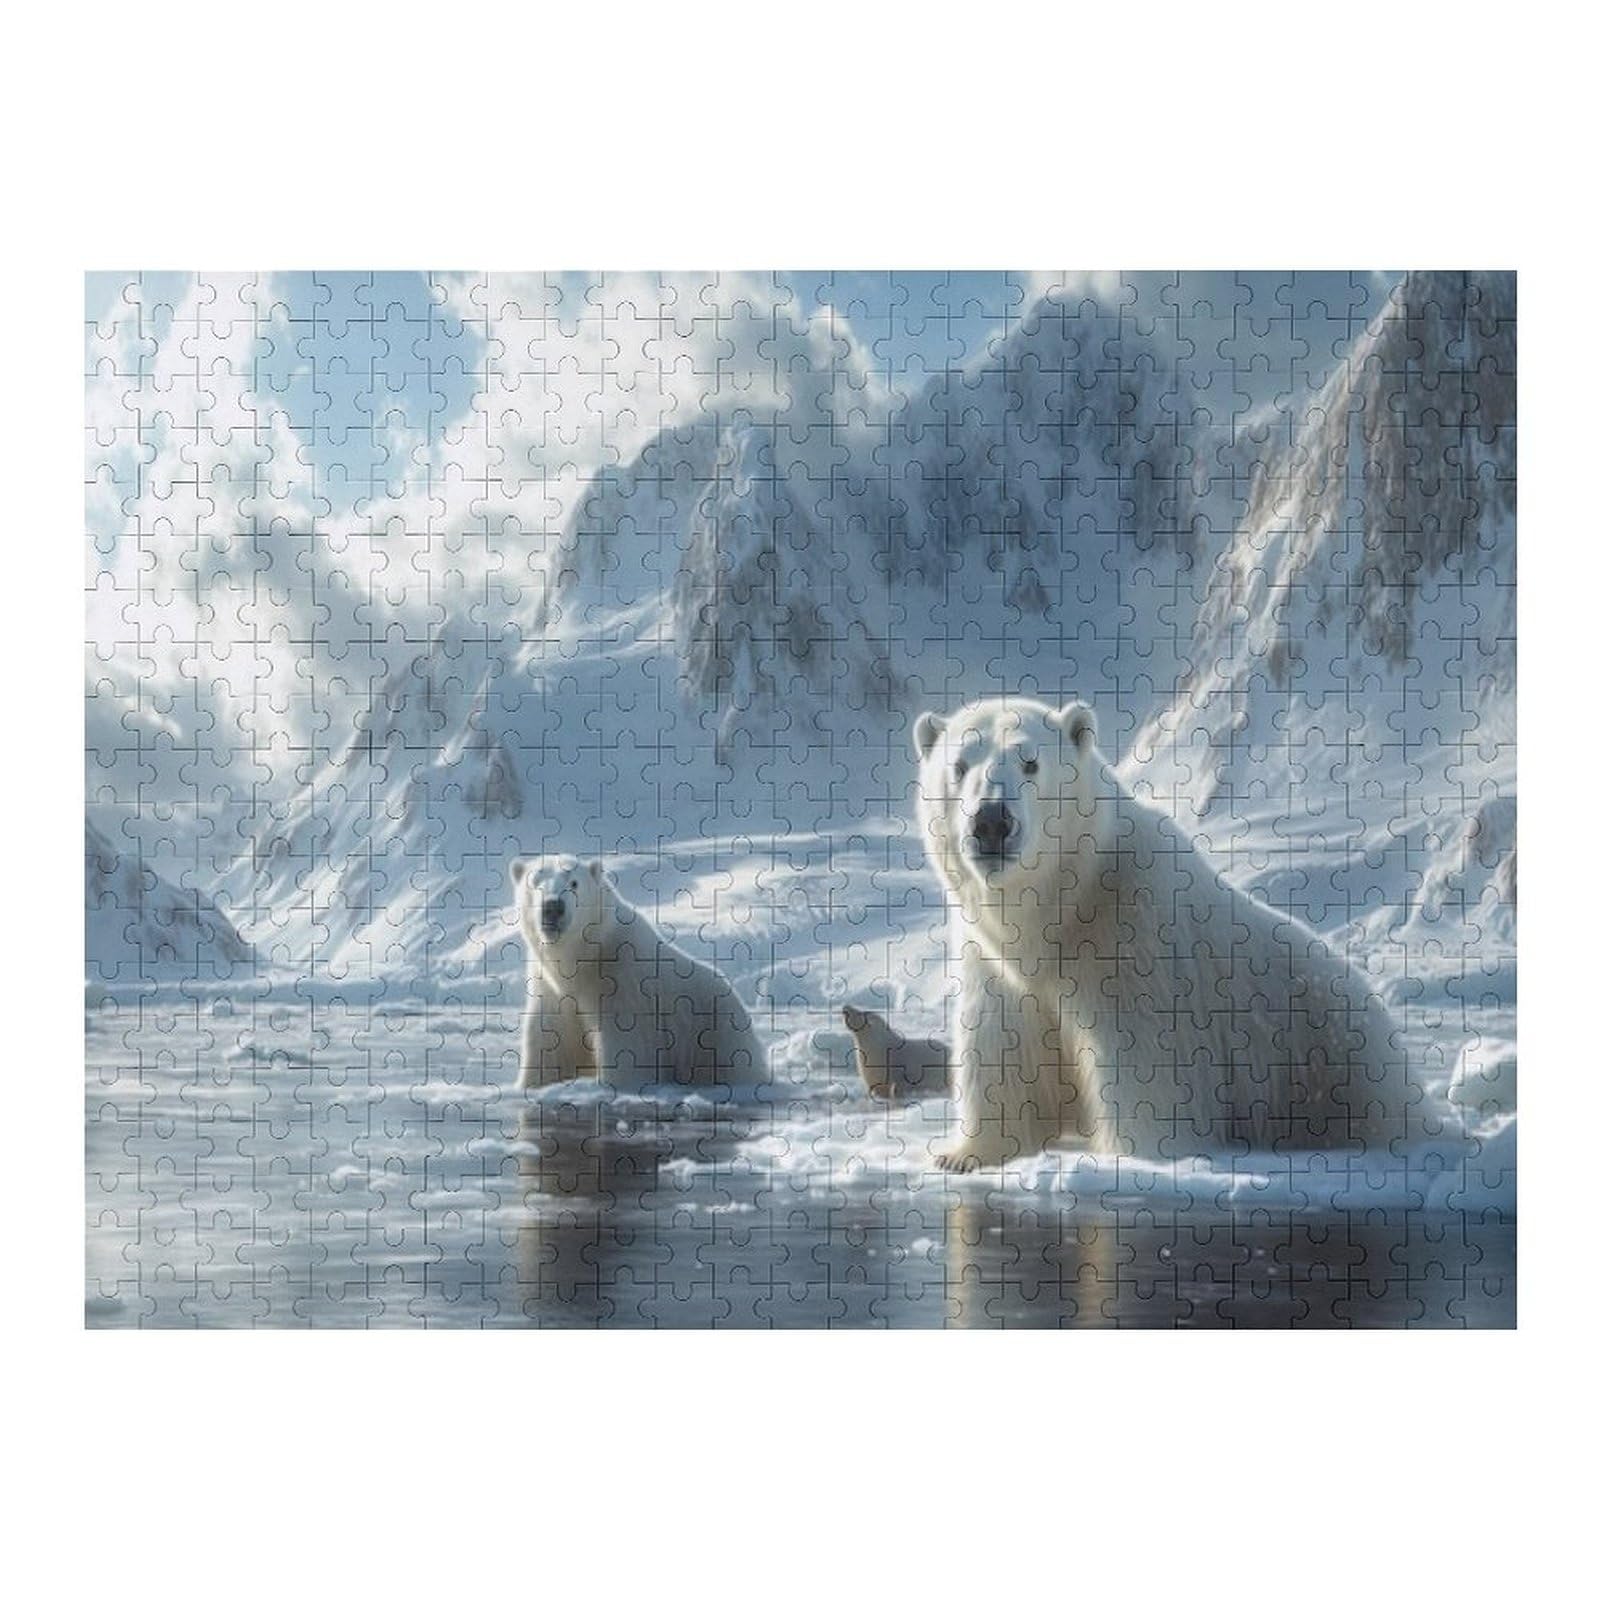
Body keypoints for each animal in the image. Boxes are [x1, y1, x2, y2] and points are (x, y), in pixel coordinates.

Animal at [510, 855, 767, 1092]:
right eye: (534, 881)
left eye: (574, 883)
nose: (552, 907)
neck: (588, 959)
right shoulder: (550, 990)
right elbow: (549, 1041)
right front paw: (533, 1083)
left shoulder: (625, 987)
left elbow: (625, 1049)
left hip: (719, 1038)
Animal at [912, 696, 1411, 1170]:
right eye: (959, 766)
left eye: (1030, 762)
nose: (991, 822)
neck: (1065, 907)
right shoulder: (992, 962)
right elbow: (999, 1047)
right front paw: (963, 1154)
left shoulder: (1137, 940)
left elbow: (1145, 1067)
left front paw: (1135, 1155)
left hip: (1330, 1059)